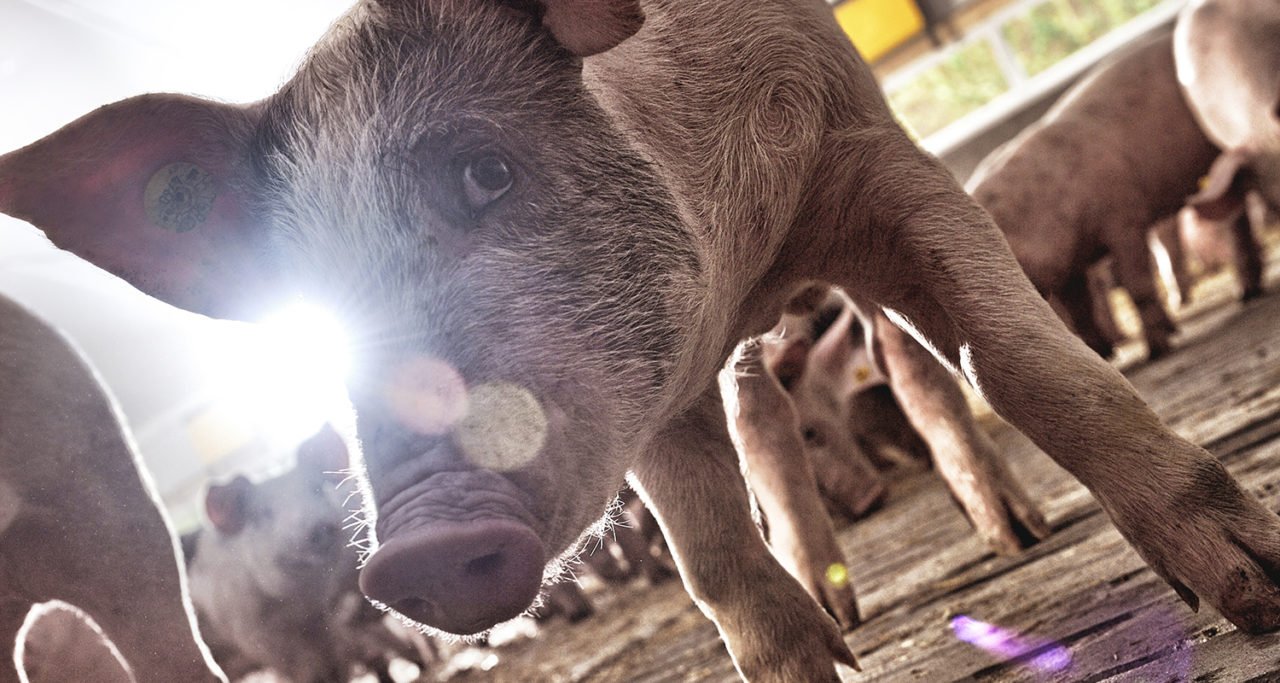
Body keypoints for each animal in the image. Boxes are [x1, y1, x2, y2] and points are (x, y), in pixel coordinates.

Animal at [967, 30, 1218, 363]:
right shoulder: (1071, 265)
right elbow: (1080, 311)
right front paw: (1103, 354)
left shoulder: (1124, 217)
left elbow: (1137, 284)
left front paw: (1157, 350)